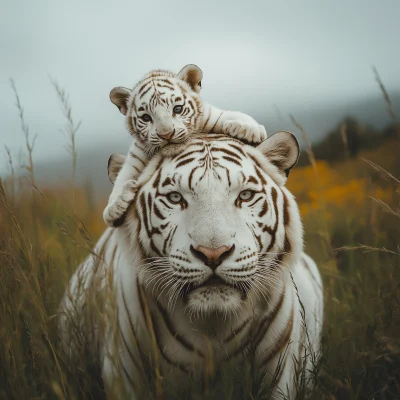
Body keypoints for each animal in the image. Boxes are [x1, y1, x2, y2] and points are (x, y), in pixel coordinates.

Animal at [58, 132, 322, 400]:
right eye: (175, 198)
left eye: (245, 196)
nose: (213, 254)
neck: (214, 327)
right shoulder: (123, 373)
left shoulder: (279, 374)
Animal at [103, 65, 268, 228]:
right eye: (146, 117)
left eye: (177, 109)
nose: (166, 134)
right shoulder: (136, 156)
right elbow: (122, 177)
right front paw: (114, 206)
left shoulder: (211, 117)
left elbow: (233, 115)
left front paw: (248, 129)